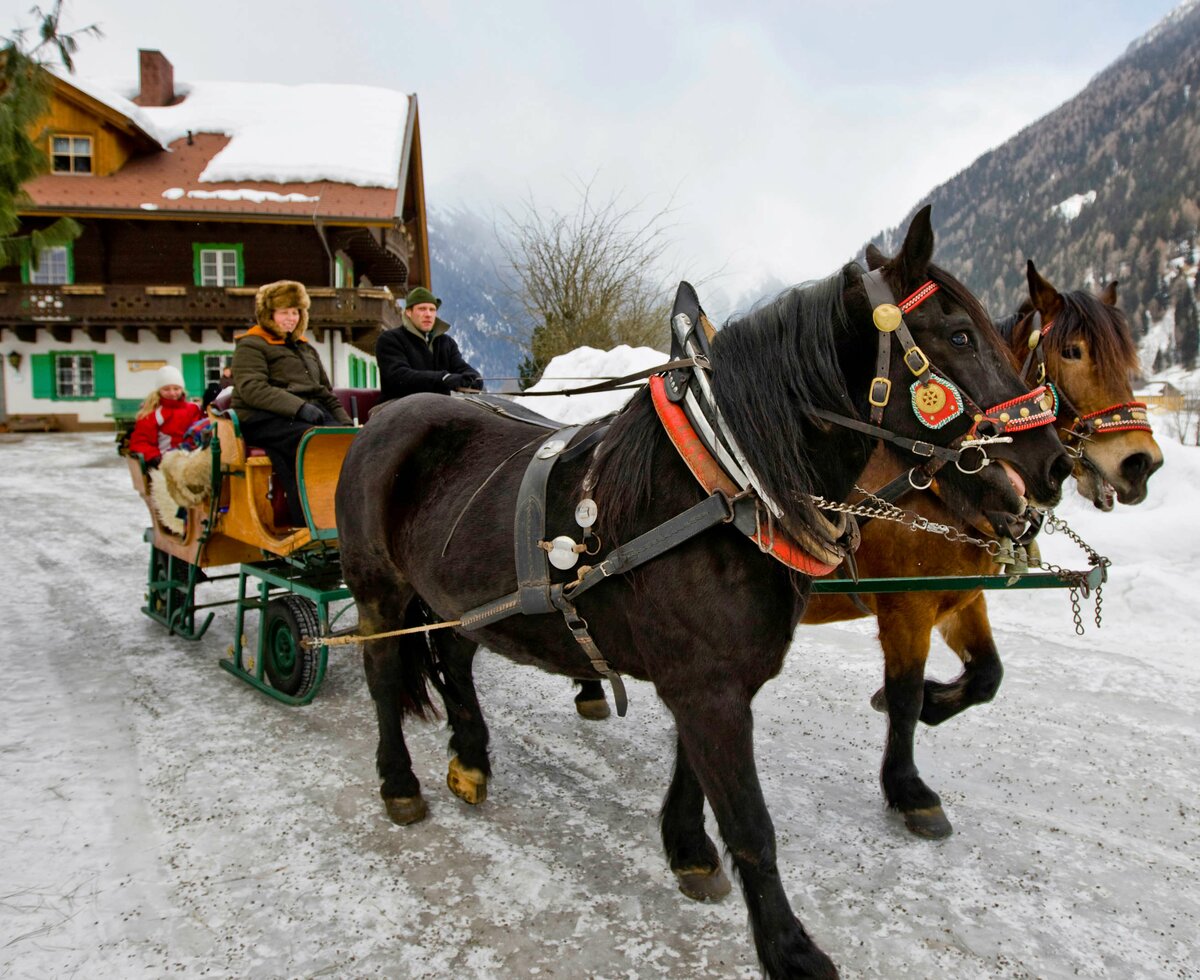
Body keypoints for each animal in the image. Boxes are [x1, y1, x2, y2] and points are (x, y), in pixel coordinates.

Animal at [336, 208, 1070, 978]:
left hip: (457, 600)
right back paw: (400, 782)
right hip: (380, 594)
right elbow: (751, 823)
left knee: (454, 660)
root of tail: (387, 418)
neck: (724, 487)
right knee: (384, 675)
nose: (1052, 464)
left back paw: (471, 758)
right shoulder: (712, 685)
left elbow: (696, 771)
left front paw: (687, 847)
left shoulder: (714, 679)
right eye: (958, 336)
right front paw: (790, 949)